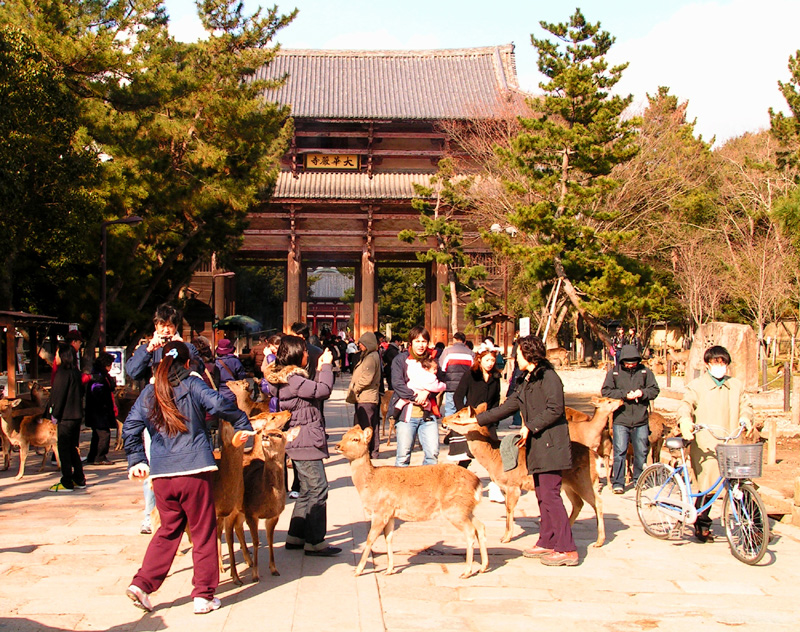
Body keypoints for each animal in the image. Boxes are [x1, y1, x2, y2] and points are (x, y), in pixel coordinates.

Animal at [233, 410, 296, 584]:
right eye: (272, 416)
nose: (288, 411)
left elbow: (269, 539)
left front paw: (273, 568)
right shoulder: (251, 513)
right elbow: (255, 541)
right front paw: (255, 574)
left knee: (236, 527)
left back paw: (247, 560)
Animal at [332, 424, 484, 576]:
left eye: (355, 439)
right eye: (343, 436)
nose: (337, 446)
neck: (369, 486)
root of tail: (477, 483)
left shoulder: (381, 511)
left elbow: (370, 539)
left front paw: (358, 570)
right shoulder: (390, 514)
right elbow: (389, 538)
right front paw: (389, 570)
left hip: (455, 509)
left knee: (470, 531)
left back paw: (467, 572)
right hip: (466, 509)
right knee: (480, 526)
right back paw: (483, 567)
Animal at [440, 404, 604, 548]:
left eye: (459, 416)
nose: (444, 420)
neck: (494, 458)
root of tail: (596, 457)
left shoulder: (513, 484)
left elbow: (509, 508)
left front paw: (505, 538)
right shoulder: (505, 487)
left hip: (585, 480)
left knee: (597, 502)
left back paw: (598, 542)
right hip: (569, 484)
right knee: (578, 503)